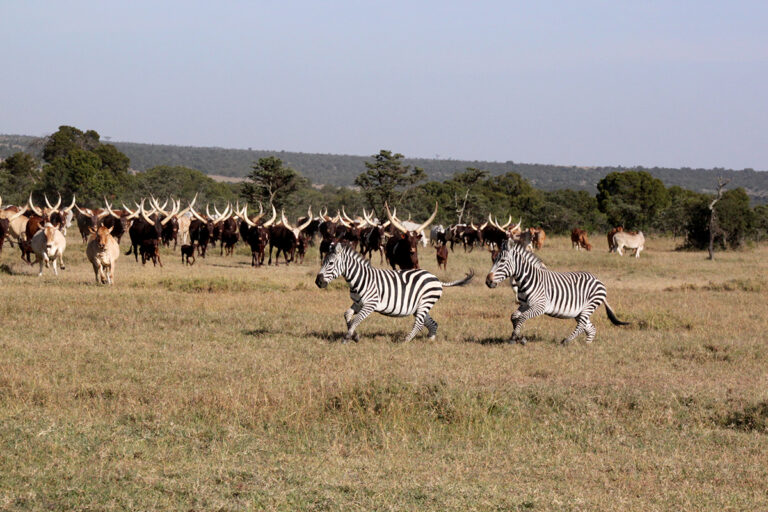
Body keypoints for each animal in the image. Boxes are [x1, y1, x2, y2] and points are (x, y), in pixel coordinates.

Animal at [314, 241, 474, 344]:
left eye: (331, 263)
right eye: (323, 262)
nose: (318, 282)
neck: (360, 278)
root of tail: (437, 279)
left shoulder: (370, 304)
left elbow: (356, 320)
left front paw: (347, 338)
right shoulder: (358, 303)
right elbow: (347, 315)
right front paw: (355, 336)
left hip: (425, 303)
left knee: (419, 323)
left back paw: (405, 341)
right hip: (419, 306)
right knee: (432, 323)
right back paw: (430, 340)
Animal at [486, 240, 632, 344]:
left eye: (502, 261)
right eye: (494, 260)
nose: (488, 281)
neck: (528, 279)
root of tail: (598, 279)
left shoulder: (540, 306)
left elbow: (522, 317)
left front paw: (516, 338)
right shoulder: (524, 305)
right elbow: (514, 316)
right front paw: (517, 337)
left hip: (589, 306)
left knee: (581, 325)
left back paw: (566, 341)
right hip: (579, 311)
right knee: (591, 328)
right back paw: (586, 345)